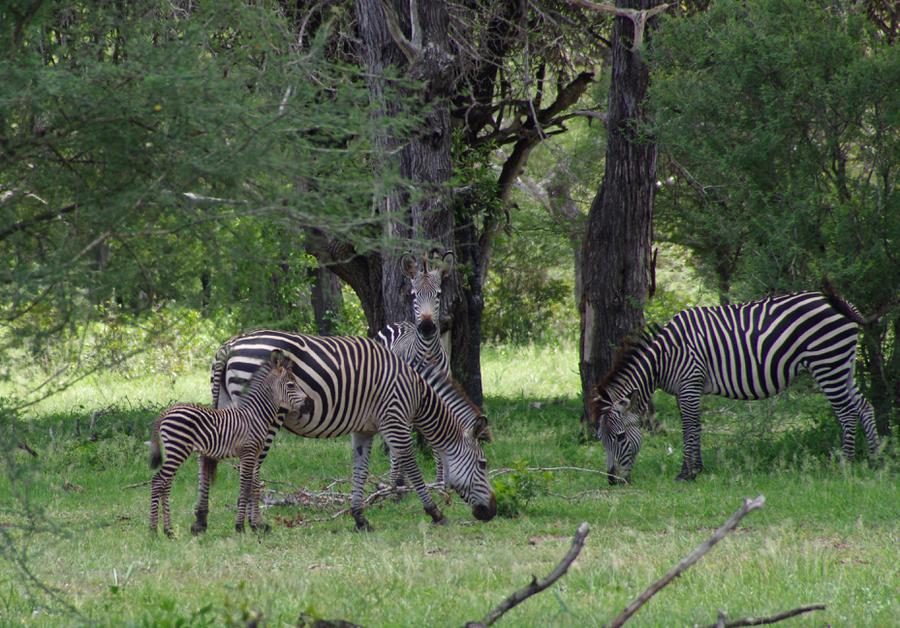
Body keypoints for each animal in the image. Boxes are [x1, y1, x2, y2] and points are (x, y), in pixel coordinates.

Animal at [149, 348, 312, 536]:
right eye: (291, 385)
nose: (309, 404)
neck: (255, 415)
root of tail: (166, 412)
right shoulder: (248, 453)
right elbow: (245, 487)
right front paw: (240, 527)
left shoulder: (254, 454)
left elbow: (253, 486)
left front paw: (254, 525)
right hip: (178, 448)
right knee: (158, 481)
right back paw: (153, 531)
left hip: (175, 450)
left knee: (165, 484)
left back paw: (168, 531)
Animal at [212, 328, 500, 528]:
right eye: (483, 464)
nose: (492, 511)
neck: (416, 392)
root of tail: (230, 344)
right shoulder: (395, 420)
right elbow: (411, 466)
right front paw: (434, 512)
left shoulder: (365, 429)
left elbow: (360, 470)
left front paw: (360, 519)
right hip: (262, 416)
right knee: (252, 469)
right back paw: (256, 524)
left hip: (231, 411)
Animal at [592, 292, 880, 484]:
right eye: (601, 439)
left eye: (619, 437)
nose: (612, 481)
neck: (664, 357)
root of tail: (845, 303)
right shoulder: (687, 389)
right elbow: (695, 427)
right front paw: (698, 468)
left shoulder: (690, 384)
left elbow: (689, 428)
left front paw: (686, 473)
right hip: (843, 364)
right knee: (865, 406)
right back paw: (876, 460)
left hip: (827, 362)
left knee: (847, 413)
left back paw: (845, 465)